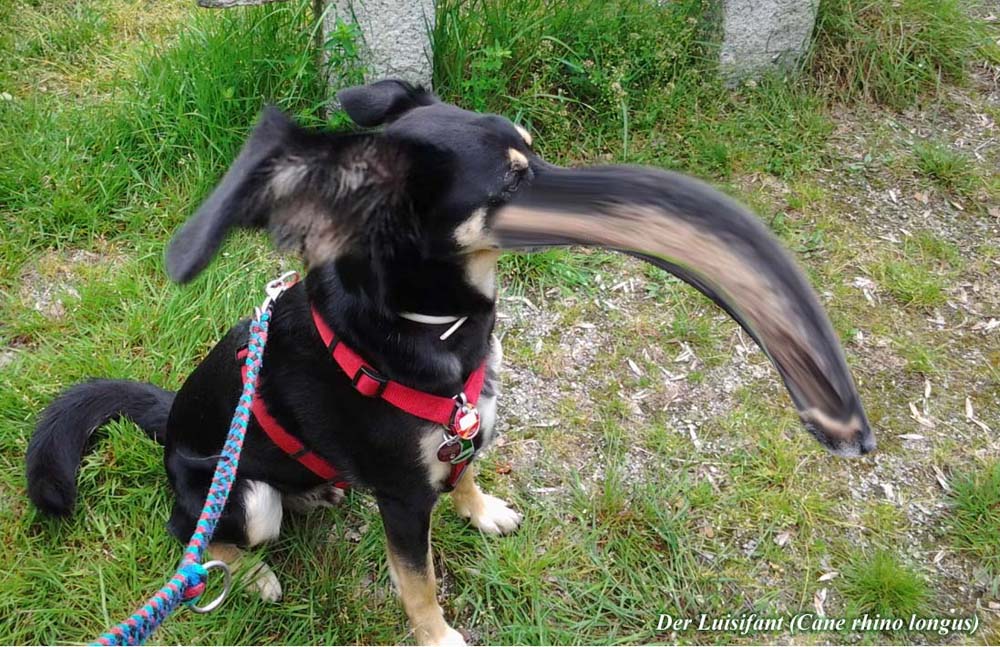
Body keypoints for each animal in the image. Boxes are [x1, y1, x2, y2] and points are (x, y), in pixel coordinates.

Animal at [26, 79, 874, 645]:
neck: (433, 329)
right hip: (244, 495)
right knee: (199, 538)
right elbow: (419, 581)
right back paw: (251, 571)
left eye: (534, 148)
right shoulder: (403, 499)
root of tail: (169, 418)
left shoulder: (466, 426)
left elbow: (466, 469)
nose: (615, 199)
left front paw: (483, 509)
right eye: (515, 179)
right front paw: (439, 636)